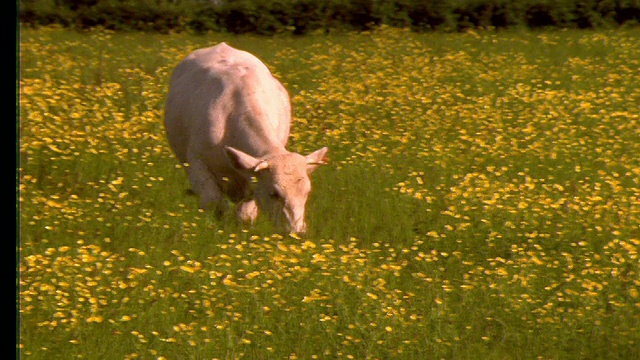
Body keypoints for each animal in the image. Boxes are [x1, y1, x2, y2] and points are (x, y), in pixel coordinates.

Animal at [162, 43, 328, 233]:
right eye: (274, 193)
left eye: (306, 193)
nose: (297, 232)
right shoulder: (197, 164)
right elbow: (214, 204)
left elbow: (245, 214)